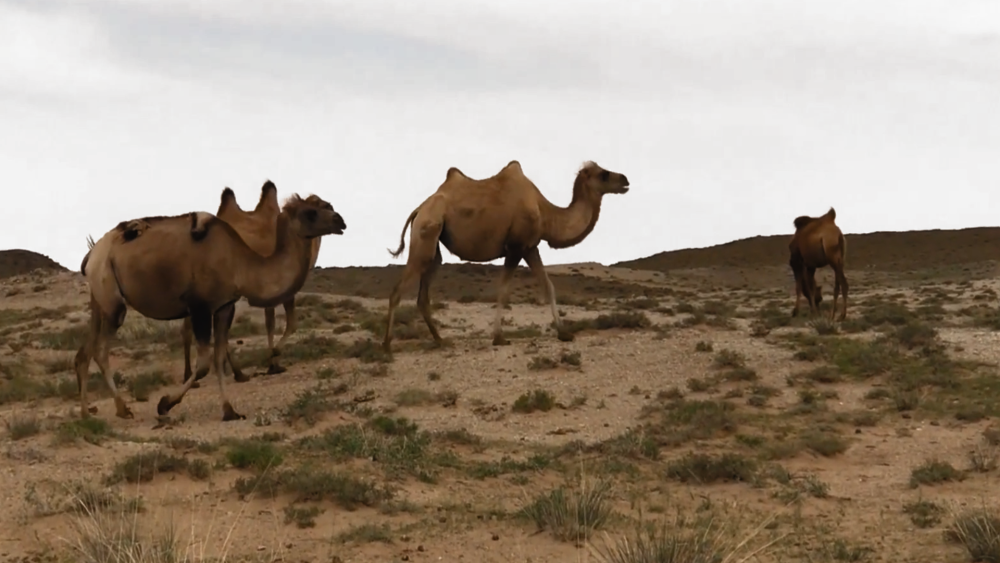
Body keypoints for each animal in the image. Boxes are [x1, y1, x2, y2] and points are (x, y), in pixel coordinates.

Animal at [378, 160, 628, 352]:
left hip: (434, 245)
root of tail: (419, 209)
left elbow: (548, 285)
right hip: (426, 233)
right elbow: (504, 290)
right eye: (604, 174)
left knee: (423, 294)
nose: (625, 179)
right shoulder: (516, 247)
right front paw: (499, 337)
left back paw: (440, 340)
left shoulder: (530, 247)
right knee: (398, 290)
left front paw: (564, 333)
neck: (545, 213)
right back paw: (387, 345)